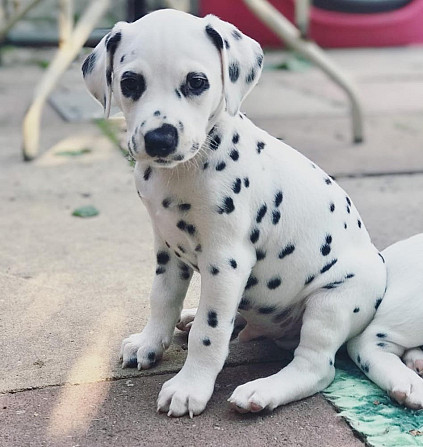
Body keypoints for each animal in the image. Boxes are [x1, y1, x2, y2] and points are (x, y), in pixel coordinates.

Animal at [81, 8, 422, 418]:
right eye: (130, 82)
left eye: (197, 82)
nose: (159, 139)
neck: (186, 168)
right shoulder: (167, 249)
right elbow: (162, 299)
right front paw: (150, 343)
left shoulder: (226, 261)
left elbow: (209, 333)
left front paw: (189, 387)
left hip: (332, 301)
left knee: (316, 367)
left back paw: (263, 391)